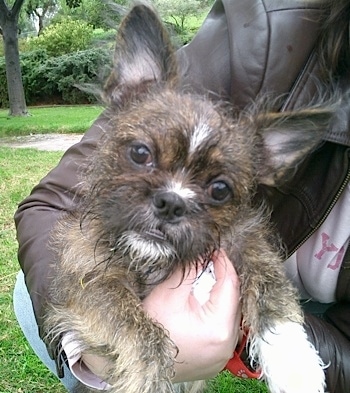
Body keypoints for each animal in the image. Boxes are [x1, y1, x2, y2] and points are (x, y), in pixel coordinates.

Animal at [43, 3, 330, 392]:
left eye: (220, 189)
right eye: (140, 153)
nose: (172, 202)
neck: (159, 261)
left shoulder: (245, 242)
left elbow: (273, 288)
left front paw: (295, 365)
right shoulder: (87, 281)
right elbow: (139, 327)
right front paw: (146, 377)